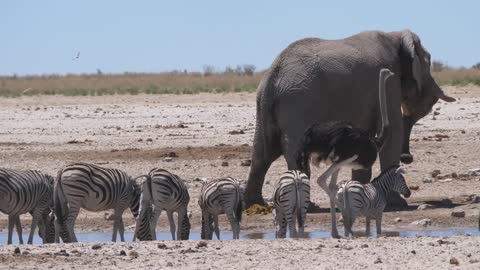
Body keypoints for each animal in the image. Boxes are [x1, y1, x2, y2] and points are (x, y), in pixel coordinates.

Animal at [246, 29, 456, 207]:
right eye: (429, 63)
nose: (408, 157)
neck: (395, 35)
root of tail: (273, 75)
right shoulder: (389, 84)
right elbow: (394, 134)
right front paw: (396, 203)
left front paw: (362, 192)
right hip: (299, 102)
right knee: (291, 150)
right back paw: (308, 205)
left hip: (266, 104)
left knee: (262, 153)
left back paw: (256, 204)